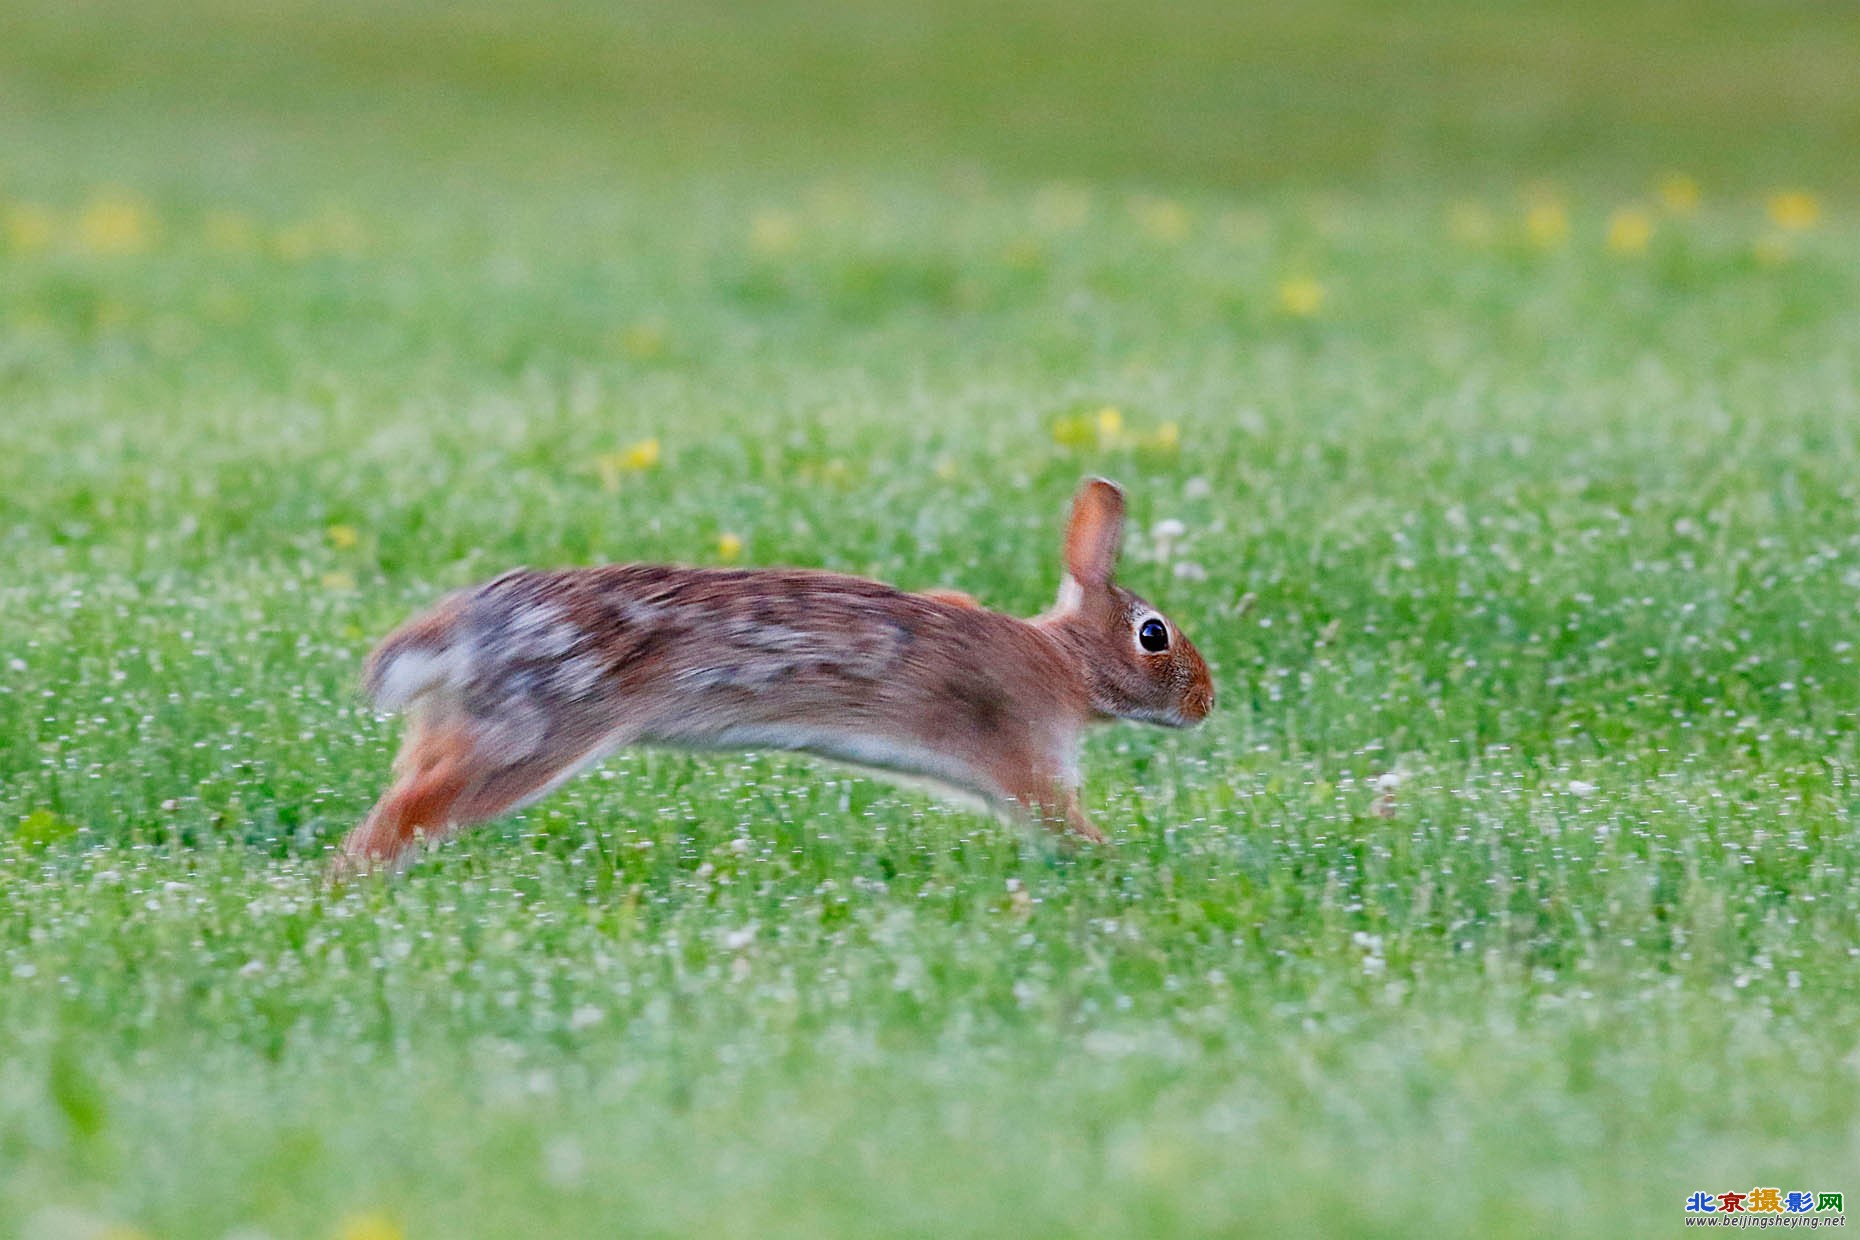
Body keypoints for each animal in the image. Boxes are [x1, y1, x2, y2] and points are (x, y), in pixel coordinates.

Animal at [336, 475, 1212, 873]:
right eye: (1154, 635)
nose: (1208, 703)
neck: (1067, 662)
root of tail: (465, 629)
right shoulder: (1027, 759)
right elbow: (1061, 819)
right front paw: (1121, 862)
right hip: (542, 734)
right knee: (413, 808)